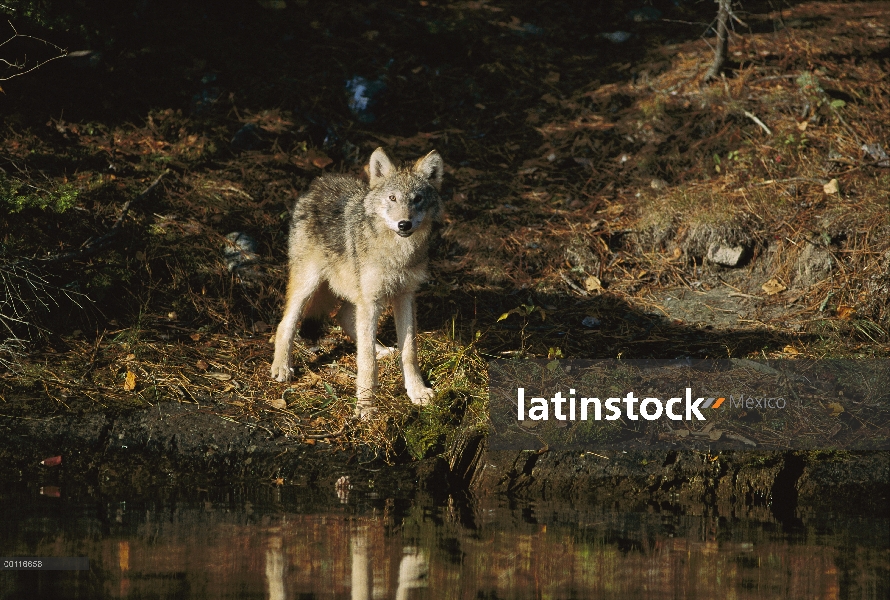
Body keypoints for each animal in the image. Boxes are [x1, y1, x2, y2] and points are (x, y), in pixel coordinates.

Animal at [268, 146, 440, 418]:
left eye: (417, 199)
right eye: (392, 198)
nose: (404, 224)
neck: (397, 252)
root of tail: (320, 182)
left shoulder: (404, 296)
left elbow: (409, 352)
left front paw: (417, 392)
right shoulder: (371, 300)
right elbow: (366, 362)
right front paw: (366, 405)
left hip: (361, 293)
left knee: (345, 319)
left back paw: (382, 349)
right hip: (310, 284)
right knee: (286, 324)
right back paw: (282, 367)